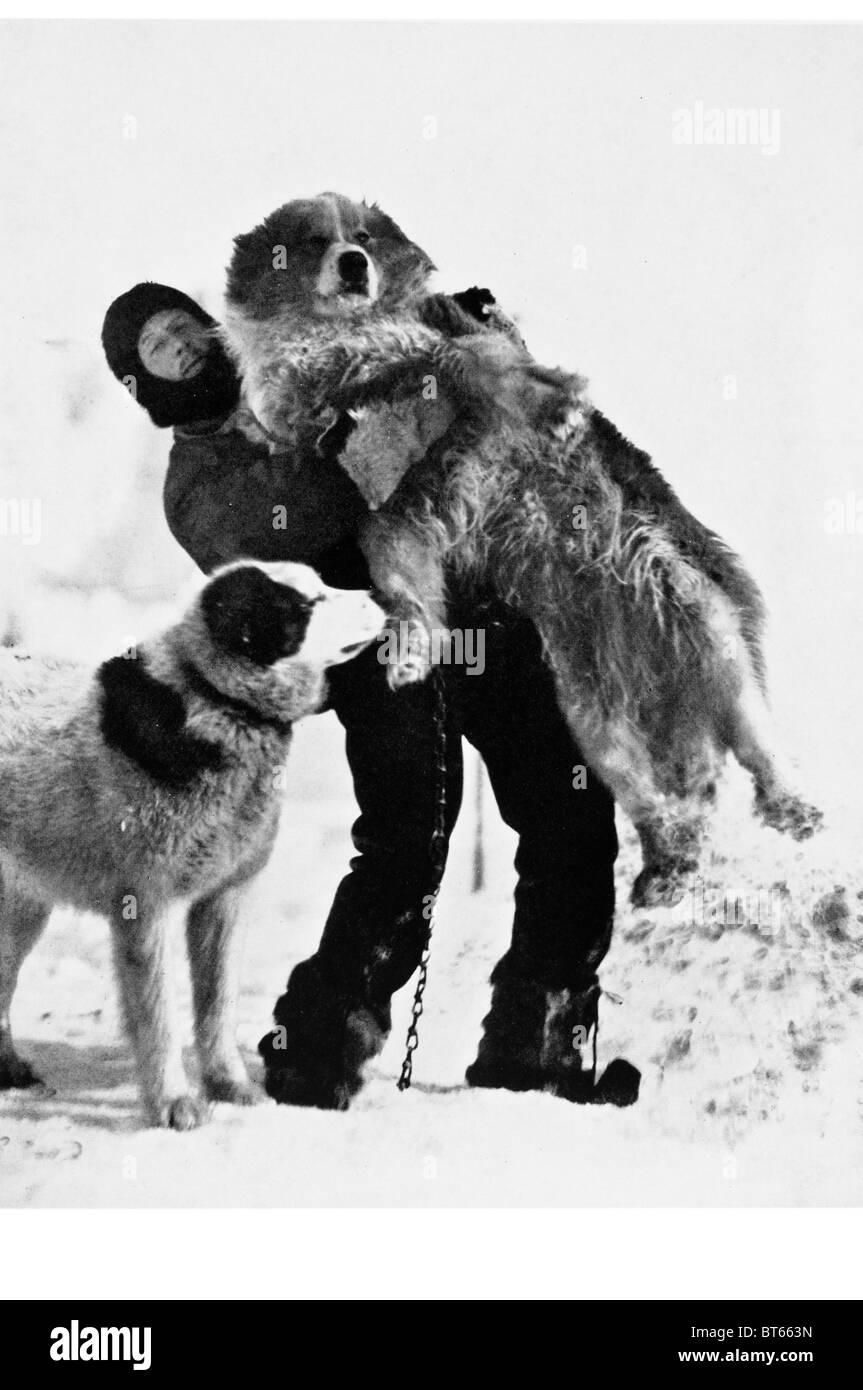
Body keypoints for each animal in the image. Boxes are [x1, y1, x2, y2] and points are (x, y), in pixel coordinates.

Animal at [223, 195, 822, 911]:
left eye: (362, 236)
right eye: (314, 241)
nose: (353, 263)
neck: (348, 350)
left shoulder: (447, 354)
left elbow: (484, 367)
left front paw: (557, 406)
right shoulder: (385, 506)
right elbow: (402, 574)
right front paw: (411, 649)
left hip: (700, 624)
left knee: (755, 740)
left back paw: (791, 807)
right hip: (590, 716)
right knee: (649, 794)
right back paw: (666, 867)